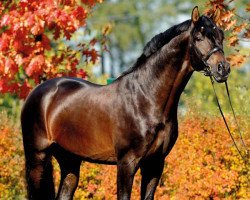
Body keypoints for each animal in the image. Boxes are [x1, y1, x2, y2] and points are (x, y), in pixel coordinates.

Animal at [21, 7, 230, 199]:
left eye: (221, 35)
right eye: (199, 37)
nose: (223, 68)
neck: (146, 98)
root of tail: (38, 91)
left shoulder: (155, 164)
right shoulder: (126, 163)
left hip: (70, 161)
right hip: (37, 158)